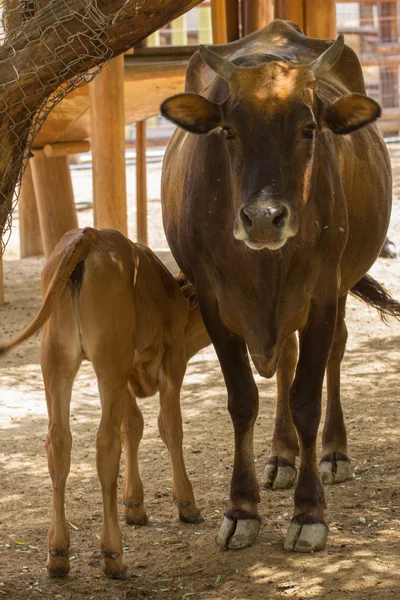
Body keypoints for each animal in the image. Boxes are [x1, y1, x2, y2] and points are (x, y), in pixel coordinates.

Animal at [0, 227, 211, 580]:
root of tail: (89, 235)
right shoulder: (172, 357)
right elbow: (169, 426)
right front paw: (187, 505)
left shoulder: (126, 372)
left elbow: (133, 425)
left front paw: (135, 506)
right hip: (109, 361)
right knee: (106, 443)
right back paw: (114, 554)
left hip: (57, 360)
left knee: (59, 440)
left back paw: (58, 553)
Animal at [162, 18, 396, 552]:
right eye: (229, 130)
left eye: (308, 128)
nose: (264, 218)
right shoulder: (212, 302)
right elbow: (242, 399)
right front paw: (241, 508)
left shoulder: (323, 295)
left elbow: (306, 397)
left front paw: (309, 513)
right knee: (285, 360)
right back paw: (280, 456)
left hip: (336, 290)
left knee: (333, 355)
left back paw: (332, 453)